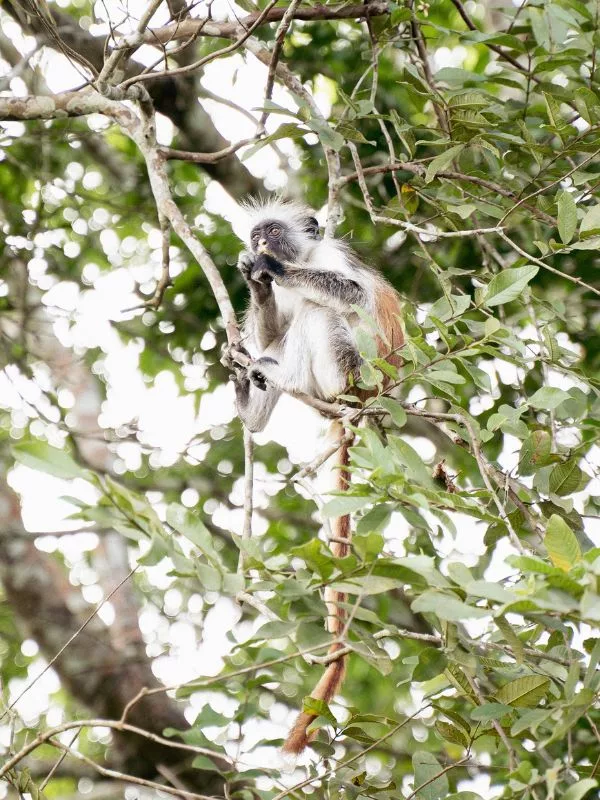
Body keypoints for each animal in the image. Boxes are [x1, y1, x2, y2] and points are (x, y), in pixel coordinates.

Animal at [224, 199, 403, 754]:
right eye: (256, 232)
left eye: (272, 232)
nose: (260, 243)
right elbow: (272, 327)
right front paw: (256, 279)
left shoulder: (327, 258)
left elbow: (352, 293)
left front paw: (271, 268)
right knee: (283, 336)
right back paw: (251, 403)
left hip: (353, 371)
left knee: (319, 312)